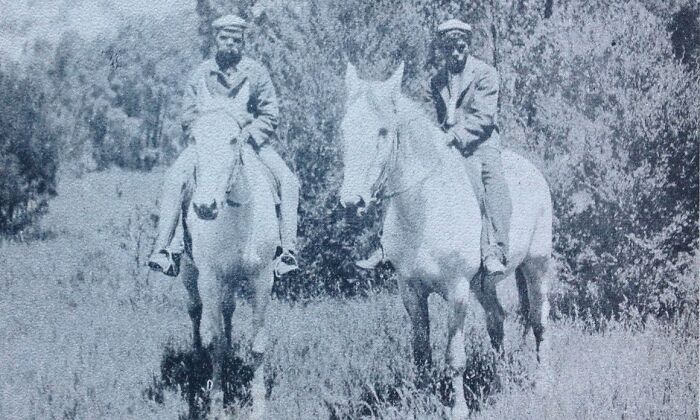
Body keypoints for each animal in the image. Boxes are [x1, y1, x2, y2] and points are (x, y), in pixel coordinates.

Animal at [179, 92, 279, 417]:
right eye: (194, 138)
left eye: (235, 139)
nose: (205, 207)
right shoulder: (210, 279)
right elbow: (216, 344)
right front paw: (216, 406)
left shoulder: (262, 279)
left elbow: (258, 345)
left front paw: (258, 407)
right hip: (189, 273)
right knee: (195, 310)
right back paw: (197, 358)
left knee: (228, 310)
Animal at [340, 62, 553, 418]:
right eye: (344, 129)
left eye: (383, 132)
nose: (350, 202)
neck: (424, 209)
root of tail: (533, 172)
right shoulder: (411, 291)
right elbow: (421, 352)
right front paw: (421, 402)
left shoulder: (457, 290)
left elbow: (454, 357)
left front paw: (458, 409)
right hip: (484, 285)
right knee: (497, 321)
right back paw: (500, 377)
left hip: (537, 267)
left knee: (539, 321)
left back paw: (541, 382)